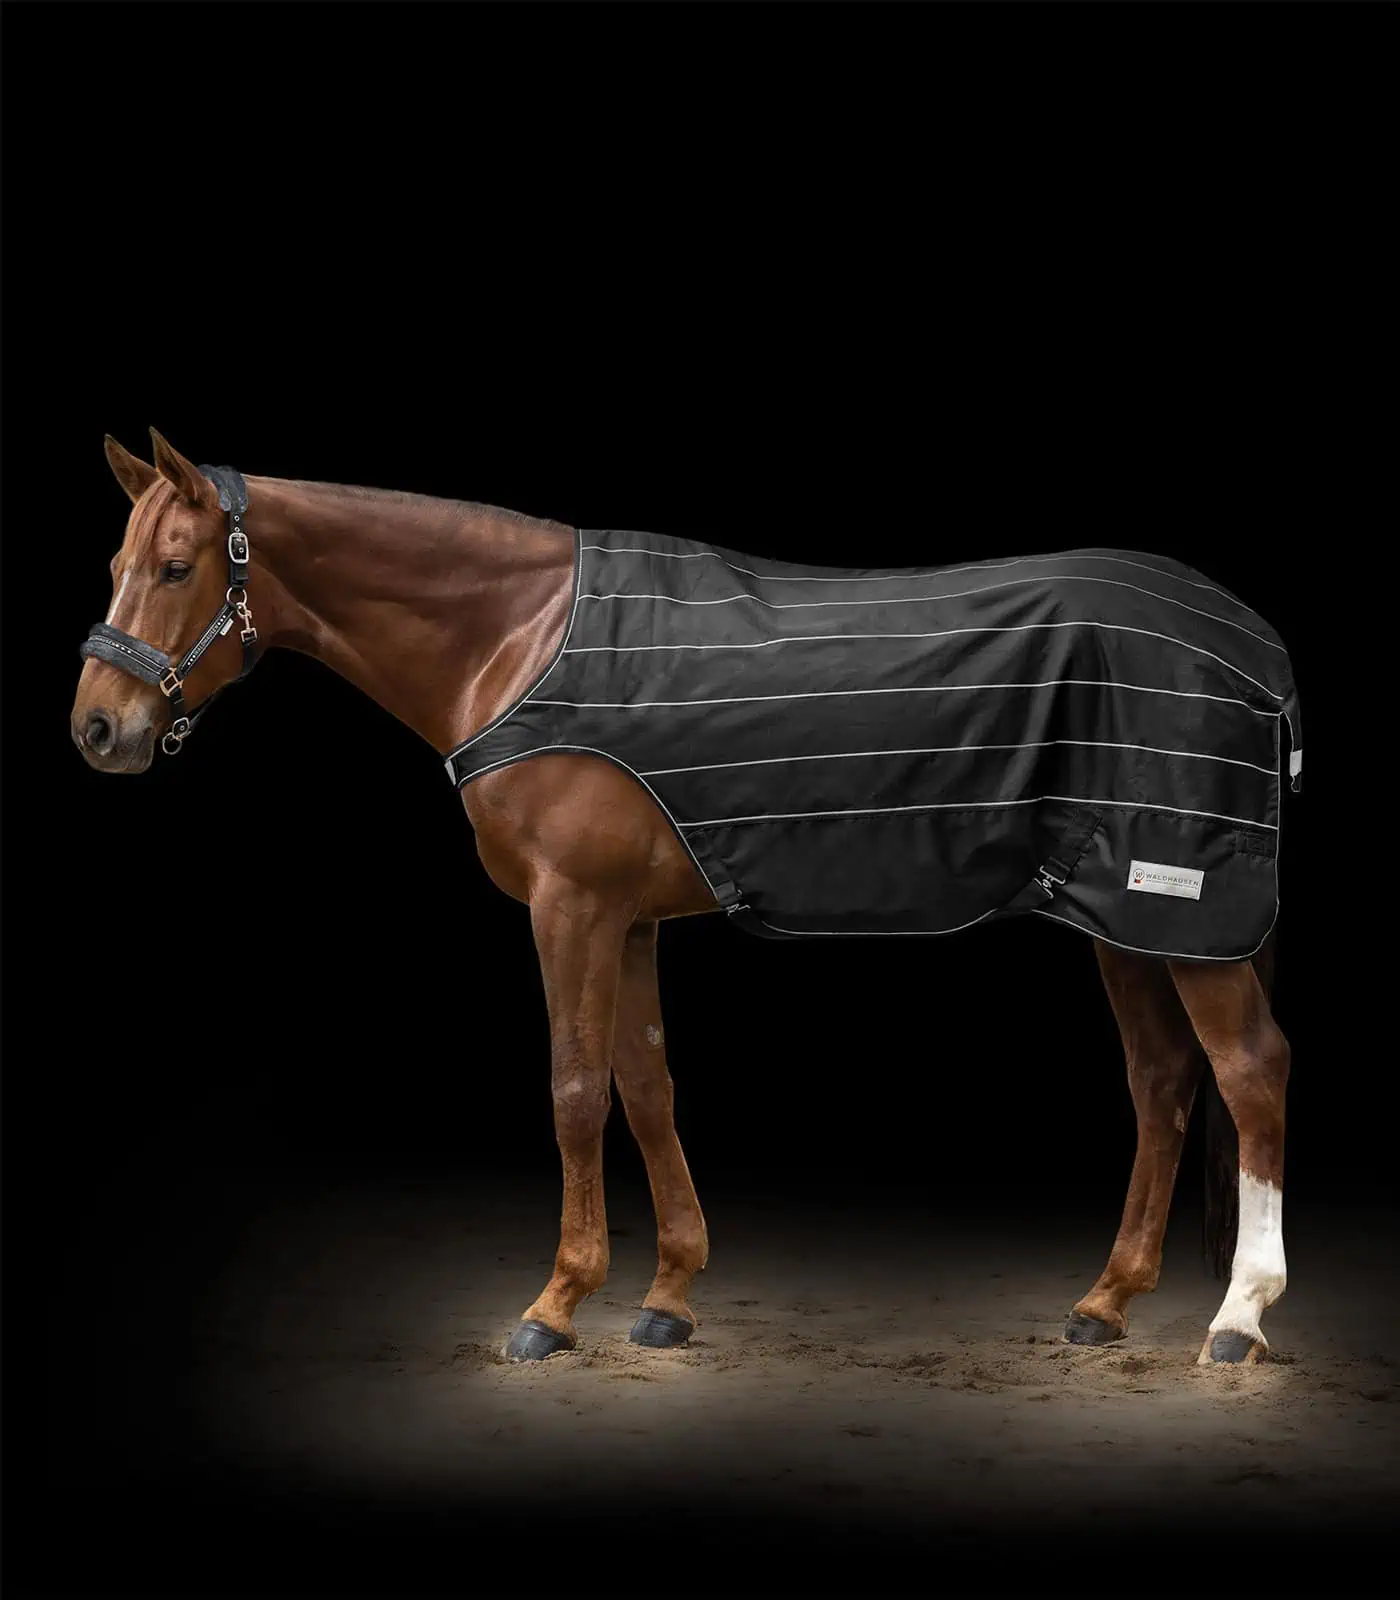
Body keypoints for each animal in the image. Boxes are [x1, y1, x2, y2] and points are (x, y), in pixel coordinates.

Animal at [71, 429, 1295, 1367]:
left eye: (175, 567)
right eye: (118, 561)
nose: (97, 729)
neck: (516, 638)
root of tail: (1254, 645)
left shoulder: (569, 908)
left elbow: (574, 1091)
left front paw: (555, 1305)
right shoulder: (629, 917)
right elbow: (647, 1086)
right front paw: (666, 1295)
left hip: (1187, 914)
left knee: (1249, 1072)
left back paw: (1238, 1321)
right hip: (1125, 916)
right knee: (1161, 1081)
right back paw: (1106, 1302)